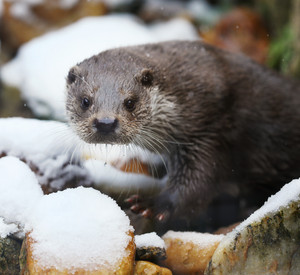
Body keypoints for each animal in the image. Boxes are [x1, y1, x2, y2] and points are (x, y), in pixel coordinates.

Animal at [65, 40, 300, 226]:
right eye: (85, 101)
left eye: (130, 102)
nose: (105, 122)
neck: (187, 99)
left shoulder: (209, 131)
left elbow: (196, 184)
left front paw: (153, 205)